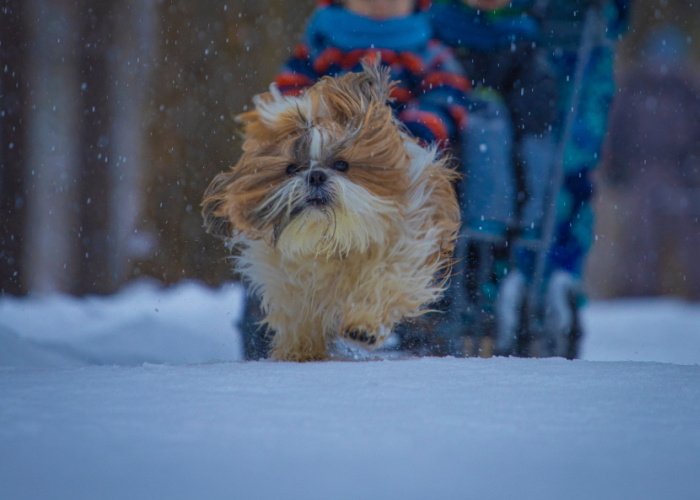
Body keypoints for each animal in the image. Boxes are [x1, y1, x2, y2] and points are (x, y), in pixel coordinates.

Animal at [202, 60, 460, 362]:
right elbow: (299, 311)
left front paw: (364, 326)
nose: (315, 175)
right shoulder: (285, 278)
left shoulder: (407, 247)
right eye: (292, 168)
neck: (335, 241)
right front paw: (301, 350)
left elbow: (384, 281)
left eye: (341, 164)